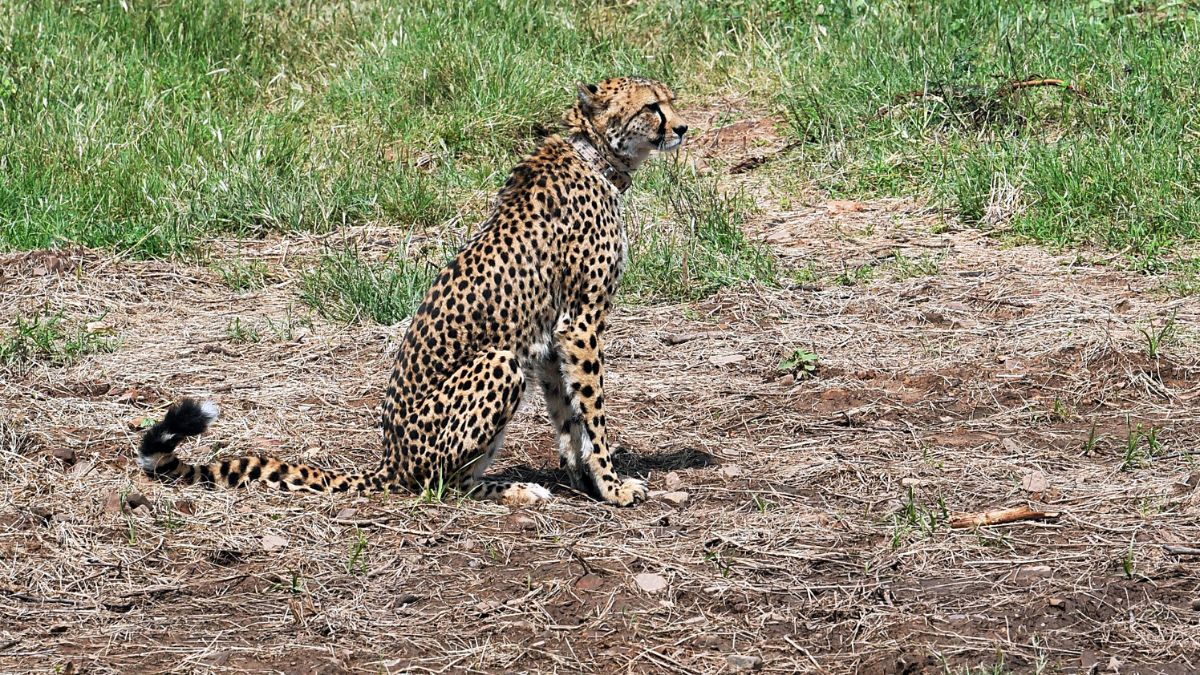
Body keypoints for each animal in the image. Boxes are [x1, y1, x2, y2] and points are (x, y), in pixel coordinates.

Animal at [136, 76, 691, 502]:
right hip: (498, 362)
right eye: (651, 106)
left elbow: (567, 414)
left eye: (670, 99)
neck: (595, 155)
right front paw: (613, 486)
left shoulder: (553, 335)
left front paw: (582, 477)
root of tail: (390, 458)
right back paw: (515, 490)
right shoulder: (580, 323)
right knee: (438, 484)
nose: (683, 127)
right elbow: (592, 412)